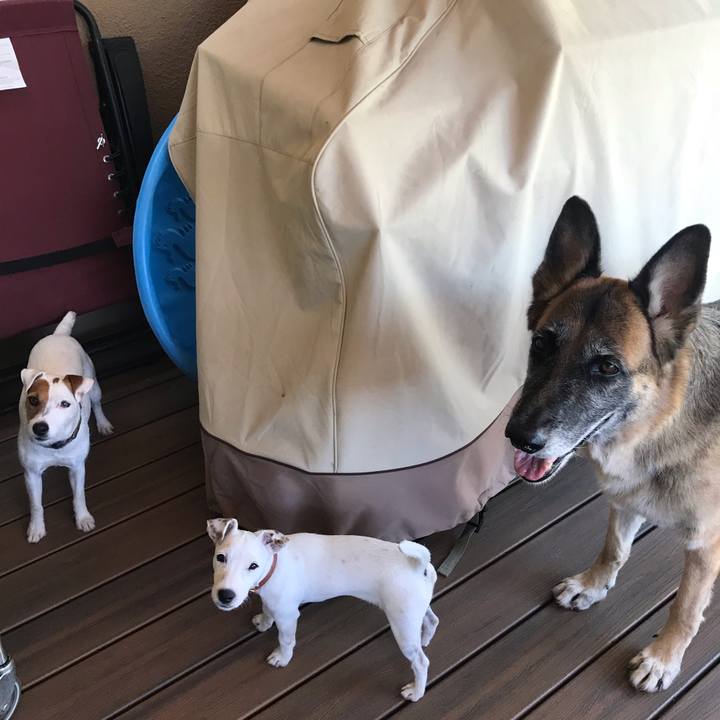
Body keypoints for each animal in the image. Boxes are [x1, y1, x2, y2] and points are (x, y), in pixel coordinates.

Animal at [18, 311, 113, 543]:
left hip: (94, 387)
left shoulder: (77, 468)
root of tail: (58, 334)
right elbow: (36, 505)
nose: (40, 428)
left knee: (97, 403)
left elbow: (79, 495)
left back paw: (103, 423)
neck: (55, 446)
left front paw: (83, 518)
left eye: (65, 404)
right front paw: (36, 528)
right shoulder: (31, 474)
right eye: (32, 400)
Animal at [207, 519, 439, 701]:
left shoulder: (288, 615)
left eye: (253, 566)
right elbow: (267, 609)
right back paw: (425, 639)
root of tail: (420, 566)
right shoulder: (272, 601)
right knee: (432, 620)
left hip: (403, 625)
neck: (275, 565)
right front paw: (264, 621)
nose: (225, 595)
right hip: (415, 612)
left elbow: (286, 640)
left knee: (421, 662)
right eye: (220, 558)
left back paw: (415, 692)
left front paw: (282, 658)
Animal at [505, 196, 717, 693]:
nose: (519, 438)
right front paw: (593, 584)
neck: (659, 427)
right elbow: (613, 548)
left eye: (606, 367)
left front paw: (663, 657)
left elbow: (685, 607)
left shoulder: (704, 544)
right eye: (542, 343)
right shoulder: (624, 501)